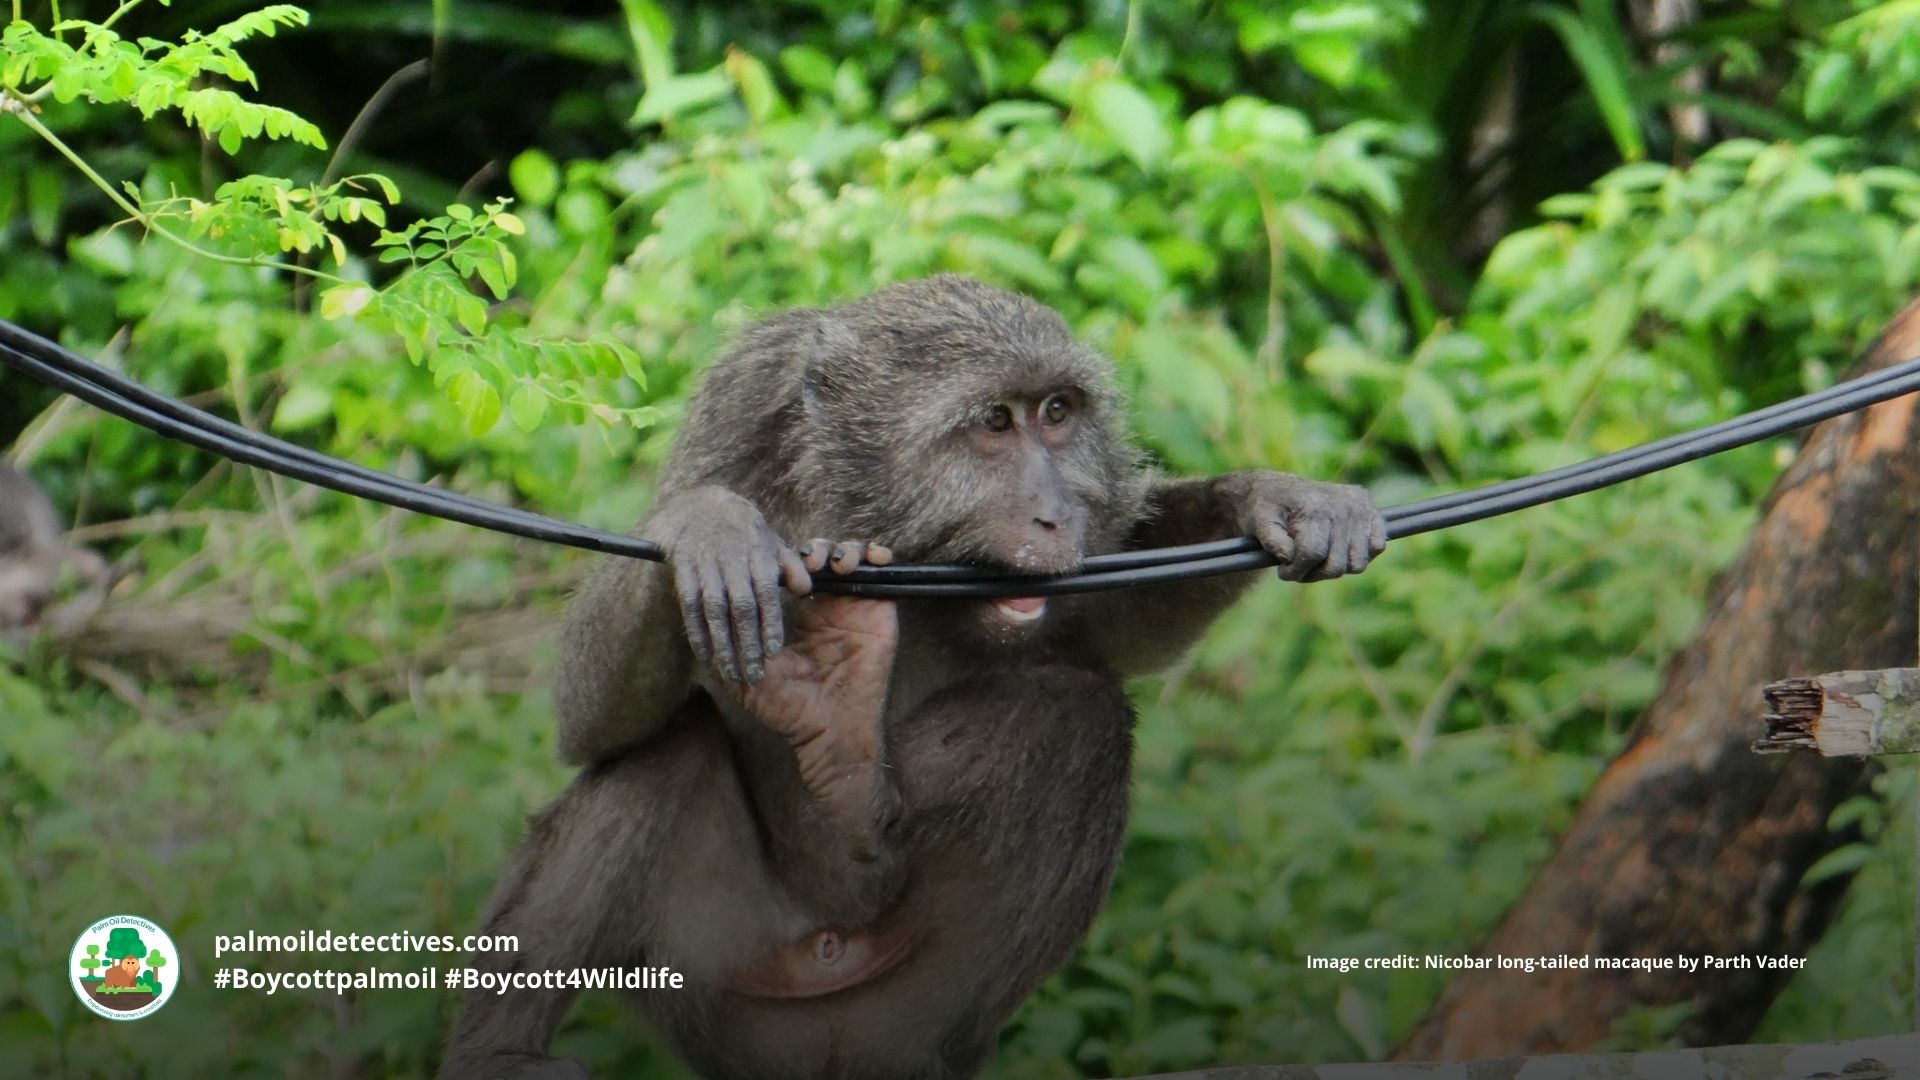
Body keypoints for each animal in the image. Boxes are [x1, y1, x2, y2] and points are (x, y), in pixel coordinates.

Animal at [442, 276, 1387, 1080]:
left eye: (1056, 413)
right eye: (994, 424)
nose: (1057, 514)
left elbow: (1115, 632)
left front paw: (1273, 496)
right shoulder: (736, 410)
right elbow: (589, 722)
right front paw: (706, 524)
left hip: (908, 1005)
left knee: (1074, 710)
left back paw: (854, 790)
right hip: (720, 988)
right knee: (660, 757)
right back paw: (498, 1055)